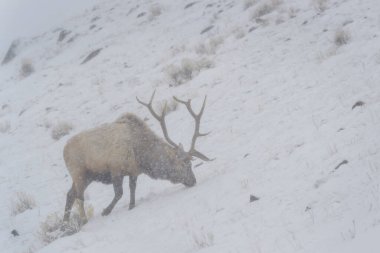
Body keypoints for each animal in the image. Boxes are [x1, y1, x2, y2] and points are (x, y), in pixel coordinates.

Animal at [62, 91, 211, 223]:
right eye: (185, 165)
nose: (193, 181)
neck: (142, 155)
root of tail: (63, 150)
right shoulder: (115, 169)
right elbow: (119, 193)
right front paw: (106, 211)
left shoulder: (134, 171)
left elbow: (132, 189)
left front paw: (131, 206)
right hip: (78, 172)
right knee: (79, 197)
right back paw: (83, 220)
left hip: (88, 176)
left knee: (70, 194)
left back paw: (65, 224)